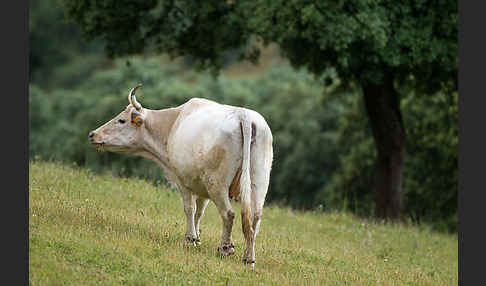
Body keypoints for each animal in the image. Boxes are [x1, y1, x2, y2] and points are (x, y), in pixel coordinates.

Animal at [88, 84, 274, 268]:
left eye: (121, 120)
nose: (92, 134)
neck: (172, 124)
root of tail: (244, 115)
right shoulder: (201, 188)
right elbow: (199, 212)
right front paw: (197, 239)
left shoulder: (183, 181)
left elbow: (189, 209)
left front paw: (189, 239)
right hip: (259, 182)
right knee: (255, 219)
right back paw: (248, 258)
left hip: (217, 183)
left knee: (229, 214)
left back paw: (225, 249)